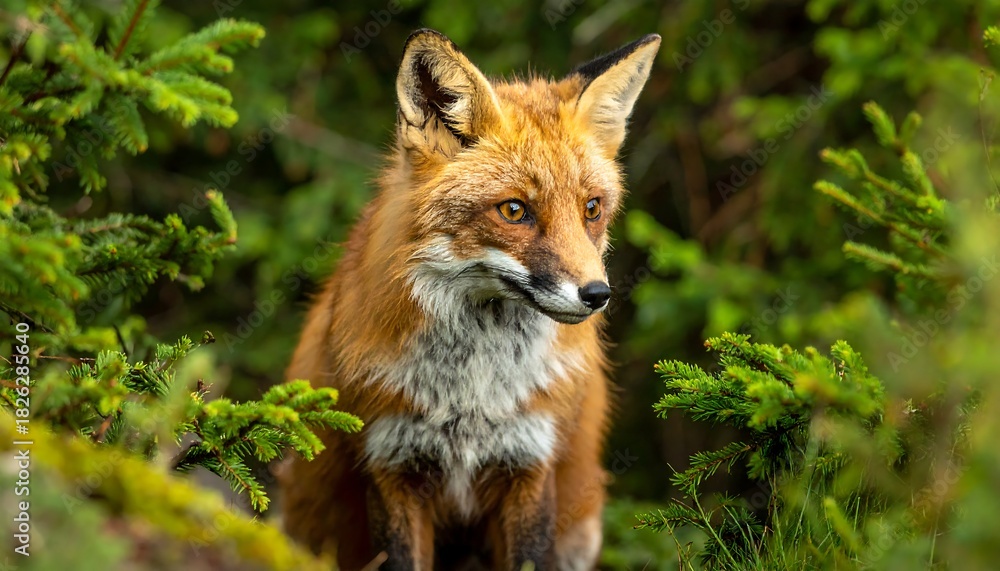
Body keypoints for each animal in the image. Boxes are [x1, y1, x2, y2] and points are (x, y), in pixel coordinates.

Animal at [280, 29, 660, 571]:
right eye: (514, 210)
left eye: (592, 208)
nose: (597, 295)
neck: (472, 393)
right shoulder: (391, 465)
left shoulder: (529, 464)